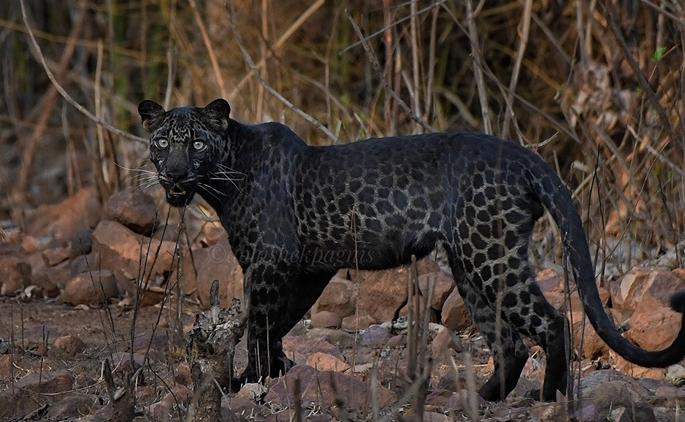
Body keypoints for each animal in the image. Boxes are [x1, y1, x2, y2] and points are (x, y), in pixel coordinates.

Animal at [138, 98, 685, 401]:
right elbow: (277, 324)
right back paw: (485, 399)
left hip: (491, 257)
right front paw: (273, 374)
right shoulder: (308, 269)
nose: (175, 173)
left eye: (197, 144)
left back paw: (549, 398)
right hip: (470, 264)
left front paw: (249, 381)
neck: (224, 178)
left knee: (552, 322)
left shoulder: (270, 263)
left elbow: (258, 324)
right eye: (162, 142)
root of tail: (523, 154)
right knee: (508, 342)